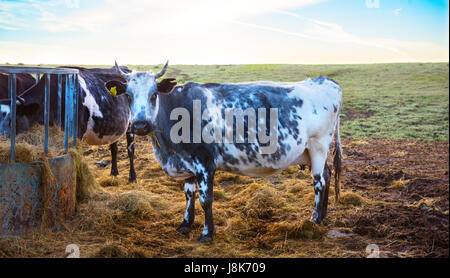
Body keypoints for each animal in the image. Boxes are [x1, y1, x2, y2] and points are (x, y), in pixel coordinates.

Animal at [110, 63, 342, 243]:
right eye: (128, 95)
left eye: (154, 94)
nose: (140, 125)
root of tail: (325, 81)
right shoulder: (186, 162)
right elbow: (188, 193)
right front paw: (186, 224)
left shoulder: (205, 163)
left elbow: (205, 199)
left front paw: (207, 233)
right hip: (310, 151)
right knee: (328, 174)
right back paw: (323, 216)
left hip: (318, 145)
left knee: (319, 181)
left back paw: (314, 219)